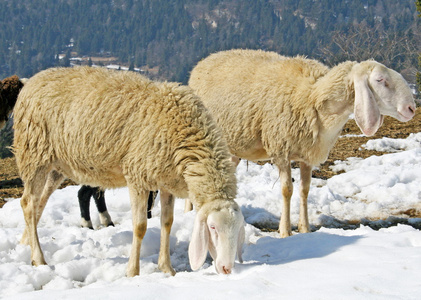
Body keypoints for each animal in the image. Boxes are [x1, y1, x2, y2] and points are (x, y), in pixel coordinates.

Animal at [13, 66, 244, 276]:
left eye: (238, 229)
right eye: (212, 228)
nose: (227, 268)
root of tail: (32, 80)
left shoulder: (166, 181)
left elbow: (167, 223)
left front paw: (167, 268)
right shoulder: (137, 177)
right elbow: (140, 226)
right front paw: (133, 271)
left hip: (56, 165)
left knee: (39, 202)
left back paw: (25, 244)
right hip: (34, 153)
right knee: (28, 203)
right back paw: (38, 258)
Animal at [189, 48, 416, 237]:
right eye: (380, 80)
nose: (411, 108)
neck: (313, 97)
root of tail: (204, 61)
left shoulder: (308, 154)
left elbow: (305, 190)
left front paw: (305, 229)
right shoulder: (281, 149)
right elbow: (287, 190)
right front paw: (285, 230)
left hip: (231, 148)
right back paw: (189, 211)